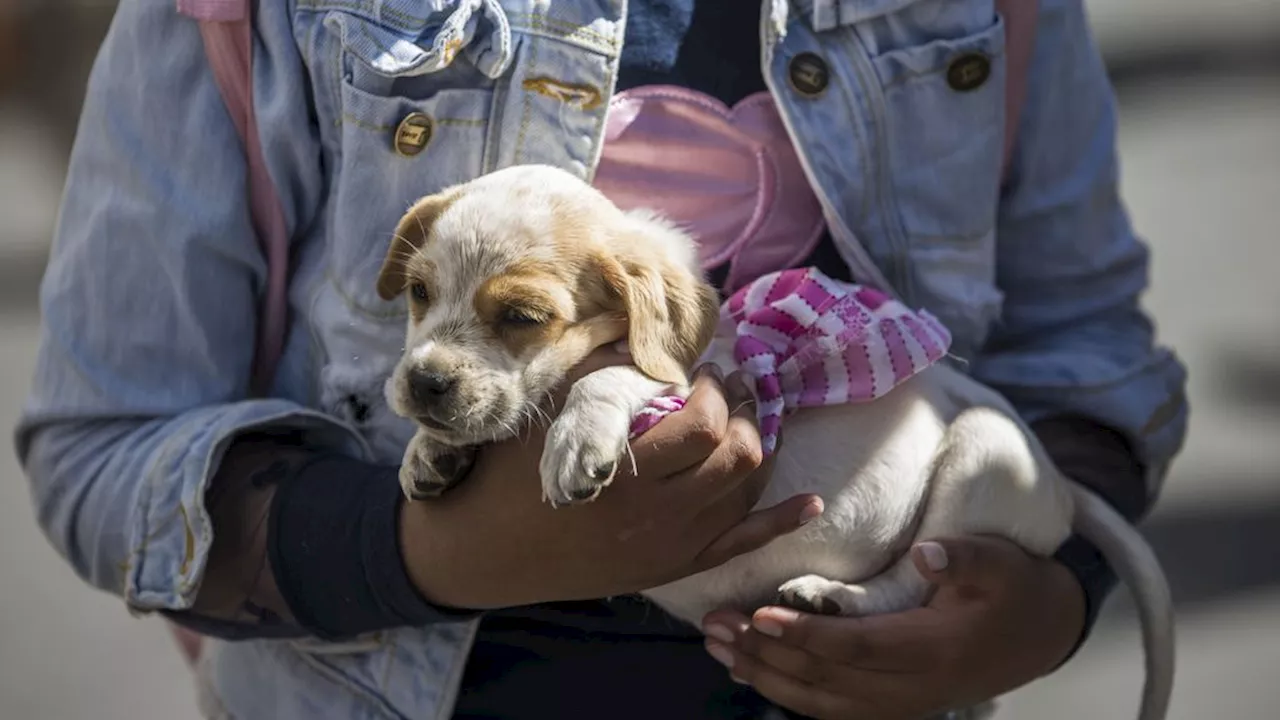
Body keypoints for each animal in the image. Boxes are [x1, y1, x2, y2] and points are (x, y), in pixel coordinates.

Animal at [376, 163, 1172, 717]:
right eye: (419, 293)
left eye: (522, 316)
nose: (424, 383)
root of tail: (1061, 486)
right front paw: (432, 453)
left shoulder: (708, 380)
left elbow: (611, 376)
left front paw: (576, 441)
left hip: (983, 454)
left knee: (918, 576)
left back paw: (831, 598)